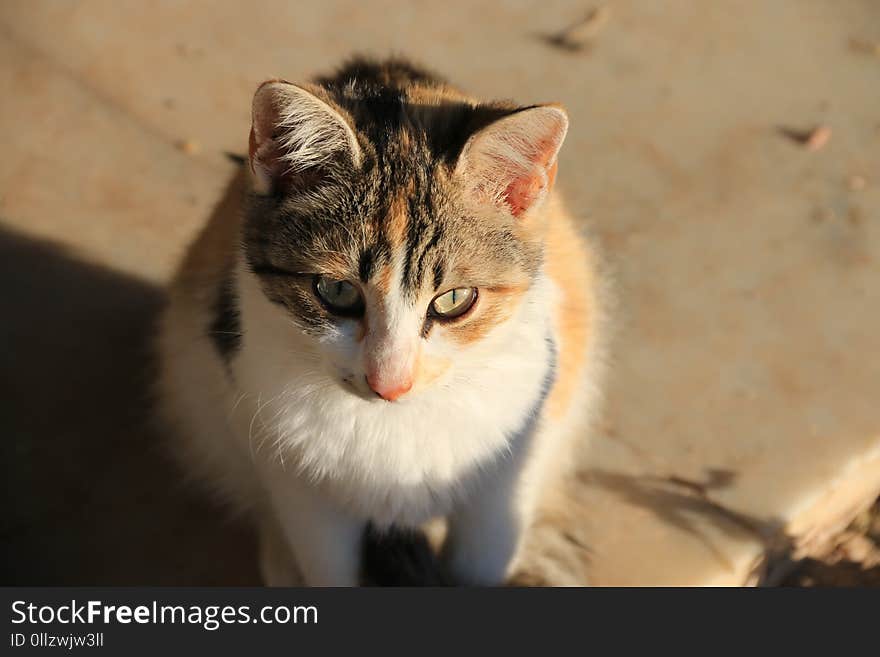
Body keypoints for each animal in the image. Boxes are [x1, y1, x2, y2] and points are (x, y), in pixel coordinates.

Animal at [156, 56, 604, 584]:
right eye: (337, 291)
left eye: (454, 299)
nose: (390, 383)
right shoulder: (289, 467)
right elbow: (327, 563)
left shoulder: (512, 459)